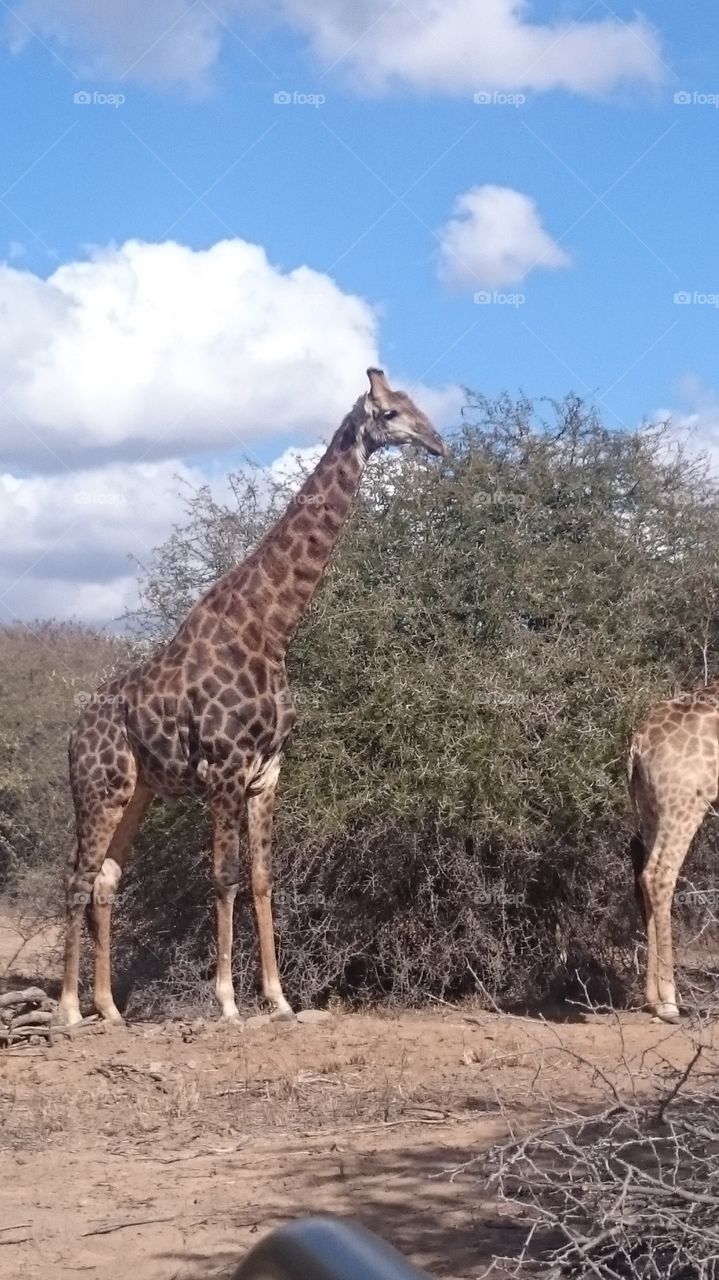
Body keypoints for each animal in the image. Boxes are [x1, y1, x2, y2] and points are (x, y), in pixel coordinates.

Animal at [58, 369, 446, 1027]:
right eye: (391, 412)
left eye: (417, 404)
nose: (438, 443)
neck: (272, 628)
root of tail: (72, 735)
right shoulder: (223, 768)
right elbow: (224, 877)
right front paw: (227, 1002)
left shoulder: (267, 771)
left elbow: (263, 877)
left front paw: (280, 998)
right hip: (98, 789)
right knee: (76, 878)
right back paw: (66, 1011)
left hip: (138, 793)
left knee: (107, 878)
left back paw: (109, 1009)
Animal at [627, 679, 719, 1022]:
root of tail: (638, 744)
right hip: (686, 801)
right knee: (660, 874)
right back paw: (668, 1001)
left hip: (650, 808)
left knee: (644, 876)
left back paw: (652, 1000)